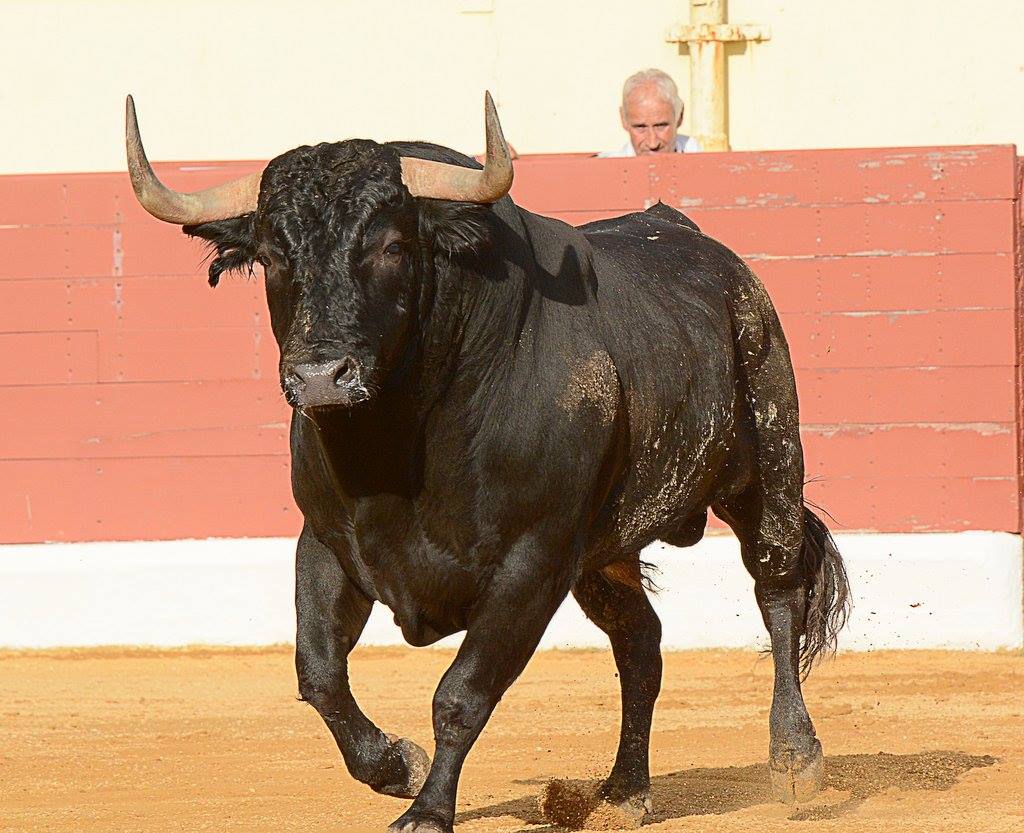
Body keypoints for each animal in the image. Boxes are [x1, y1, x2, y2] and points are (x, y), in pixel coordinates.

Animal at [132, 133, 847, 827]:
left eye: (393, 246)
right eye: (274, 256)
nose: (319, 377)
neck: (397, 451)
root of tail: (720, 262)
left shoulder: (532, 560)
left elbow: (462, 692)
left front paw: (427, 811)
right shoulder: (326, 542)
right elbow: (320, 674)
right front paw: (395, 768)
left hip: (770, 465)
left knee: (778, 592)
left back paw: (794, 757)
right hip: (604, 553)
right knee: (640, 643)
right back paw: (624, 791)